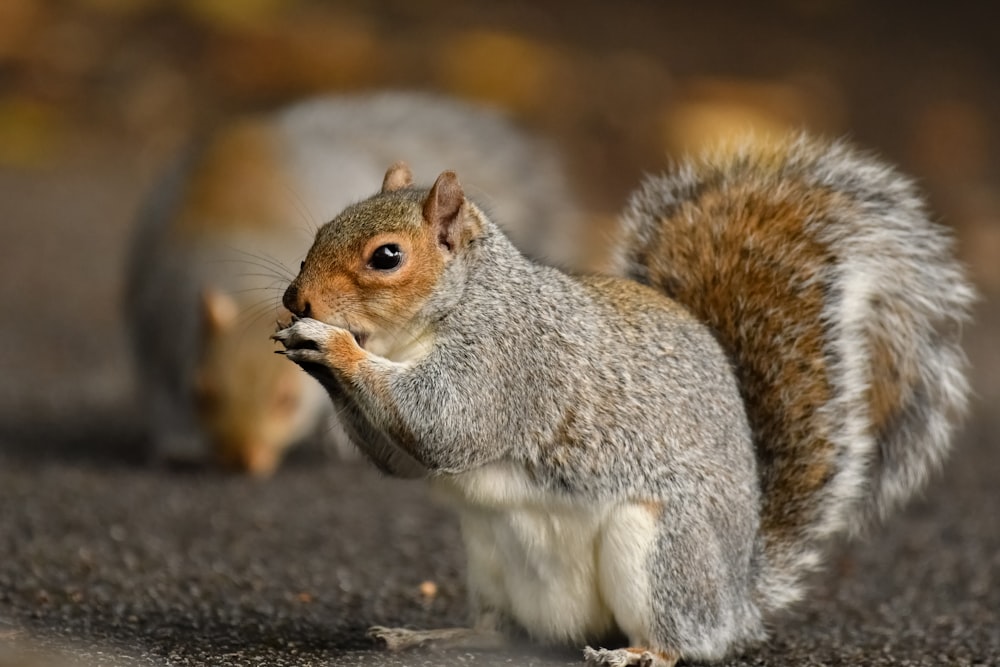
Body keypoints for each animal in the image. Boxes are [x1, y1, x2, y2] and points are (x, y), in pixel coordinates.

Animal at [123, 90, 584, 474]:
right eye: (203, 393)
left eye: (287, 400)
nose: (243, 459)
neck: (240, 282)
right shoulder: (154, 323)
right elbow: (158, 390)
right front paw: (177, 442)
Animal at [270, 133, 972, 664]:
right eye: (323, 228)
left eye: (387, 257)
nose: (295, 300)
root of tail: (738, 594)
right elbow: (407, 460)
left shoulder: (508, 362)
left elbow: (445, 423)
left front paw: (332, 345)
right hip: (488, 557)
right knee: (502, 631)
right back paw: (432, 635)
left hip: (661, 551)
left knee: (684, 640)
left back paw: (637, 653)